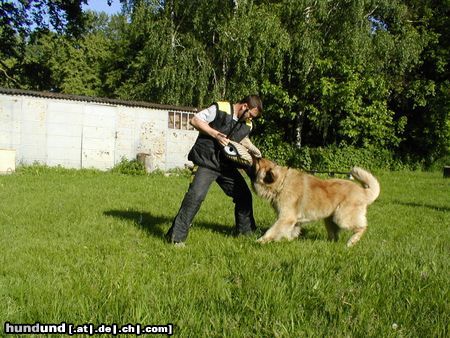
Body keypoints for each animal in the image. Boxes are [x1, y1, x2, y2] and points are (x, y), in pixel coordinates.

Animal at [248, 157, 382, 247]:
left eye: (258, 162)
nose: (254, 156)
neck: (281, 183)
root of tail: (363, 191)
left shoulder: (286, 217)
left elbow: (272, 231)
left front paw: (260, 241)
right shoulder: (293, 221)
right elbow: (289, 232)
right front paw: (287, 240)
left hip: (342, 218)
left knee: (362, 227)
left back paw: (351, 242)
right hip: (330, 220)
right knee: (334, 235)